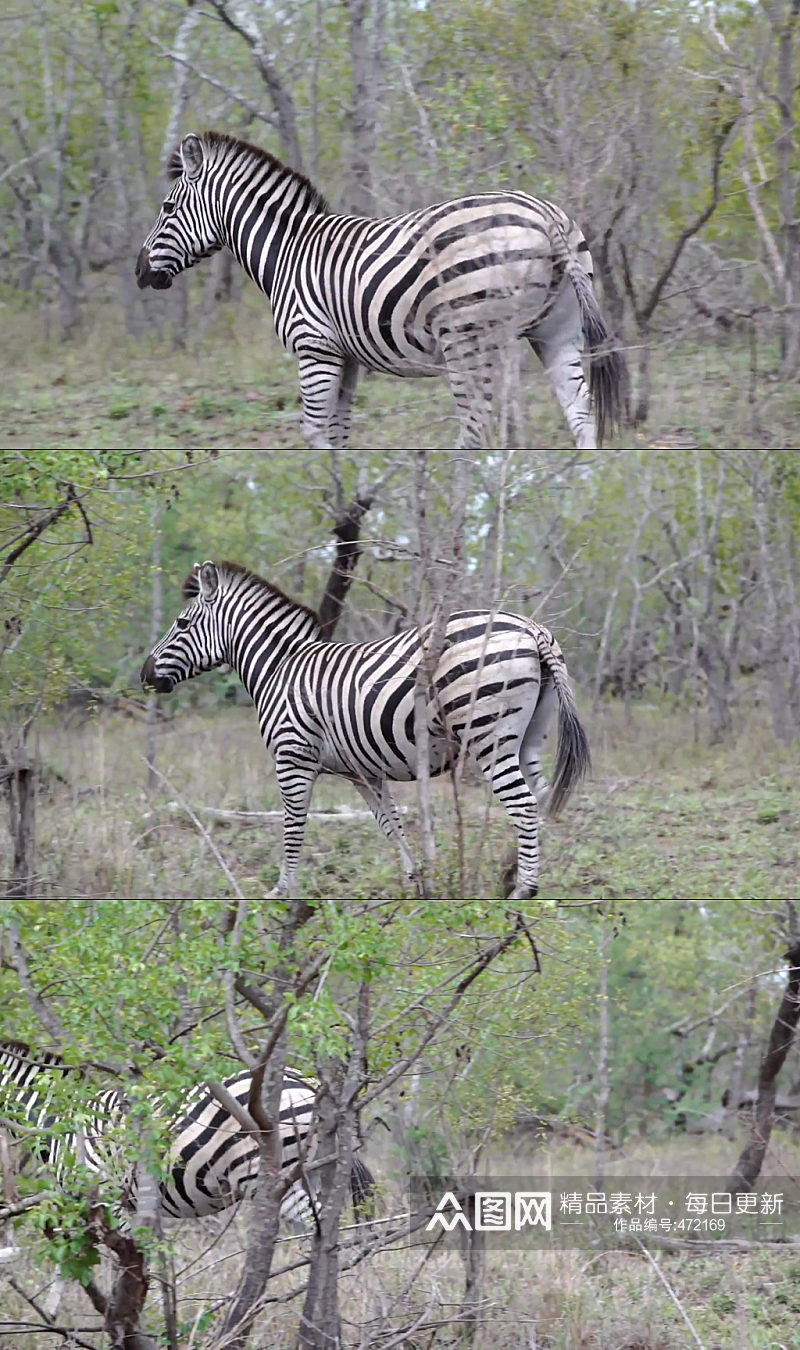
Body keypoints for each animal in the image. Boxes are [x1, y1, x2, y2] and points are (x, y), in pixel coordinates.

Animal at [134, 130, 625, 453]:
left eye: (168, 207)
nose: (140, 273)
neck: (288, 251)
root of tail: (546, 215)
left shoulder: (313, 348)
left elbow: (313, 433)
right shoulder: (345, 355)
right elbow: (339, 434)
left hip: (469, 336)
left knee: (477, 423)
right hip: (556, 329)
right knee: (580, 411)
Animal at [138, 556, 585, 896]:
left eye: (181, 624)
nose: (145, 675)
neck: (280, 668)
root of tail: (531, 627)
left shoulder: (292, 758)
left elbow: (293, 827)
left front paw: (282, 892)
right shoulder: (363, 772)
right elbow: (391, 825)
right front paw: (416, 883)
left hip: (488, 733)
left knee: (523, 803)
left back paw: (523, 890)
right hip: (528, 737)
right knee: (541, 798)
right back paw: (517, 871)